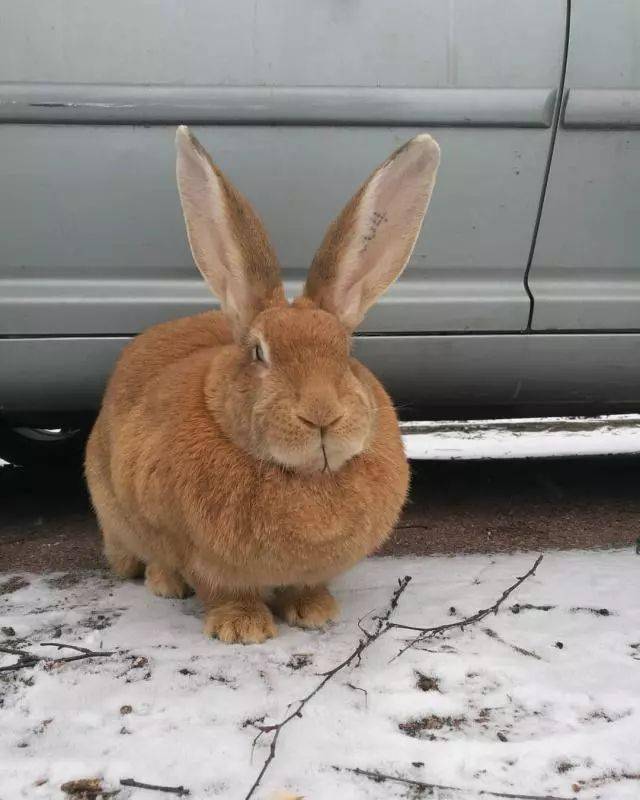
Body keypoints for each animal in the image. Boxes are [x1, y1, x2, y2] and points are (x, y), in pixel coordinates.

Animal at [85, 125, 440, 644]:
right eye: (258, 352)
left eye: (346, 352)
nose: (321, 415)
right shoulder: (204, 558)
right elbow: (221, 588)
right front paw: (242, 628)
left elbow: (306, 585)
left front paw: (316, 612)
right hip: (116, 514)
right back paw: (165, 583)